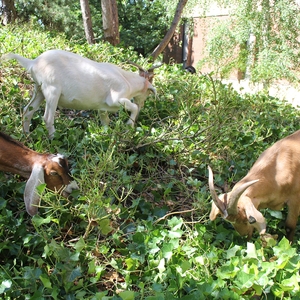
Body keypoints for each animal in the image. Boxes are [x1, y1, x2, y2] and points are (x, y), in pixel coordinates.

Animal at [2, 49, 157, 137]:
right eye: (148, 92)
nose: (143, 104)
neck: (127, 80)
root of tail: (33, 62)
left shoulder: (102, 108)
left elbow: (105, 121)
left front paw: (106, 136)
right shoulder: (116, 98)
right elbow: (133, 107)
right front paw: (129, 125)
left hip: (38, 89)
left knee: (28, 110)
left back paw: (26, 135)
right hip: (52, 89)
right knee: (47, 117)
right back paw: (54, 139)